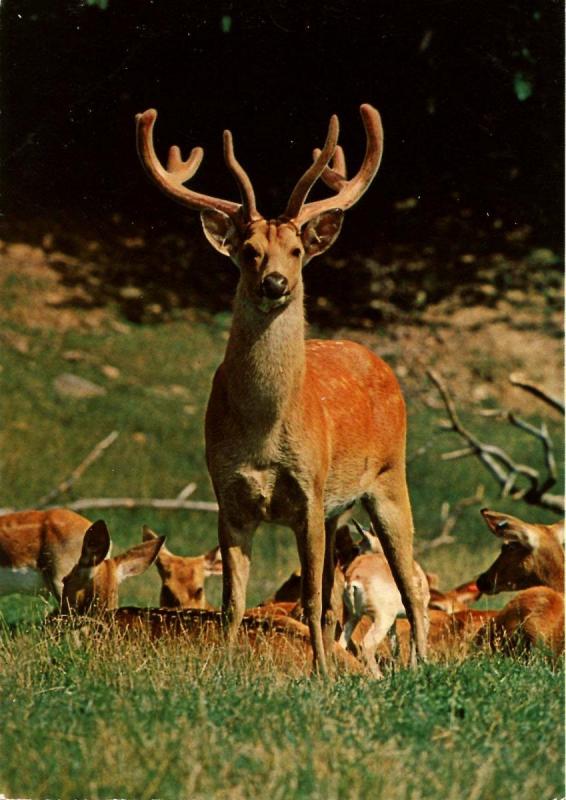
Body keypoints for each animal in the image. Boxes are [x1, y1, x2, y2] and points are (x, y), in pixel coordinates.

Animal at [138, 101, 428, 676]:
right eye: (248, 250)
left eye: (295, 250)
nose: (275, 283)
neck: (265, 430)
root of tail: (376, 359)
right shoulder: (228, 497)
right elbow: (234, 600)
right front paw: (224, 667)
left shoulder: (309, 495)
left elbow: (310, 598)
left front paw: (320, 675)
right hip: (341, 509)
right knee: (343, 596)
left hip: (389, 476)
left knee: (408, 582)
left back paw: (422, 665)